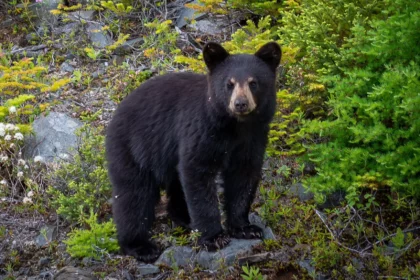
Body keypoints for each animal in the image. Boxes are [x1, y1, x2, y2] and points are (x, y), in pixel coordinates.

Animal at [106, 41, 282, 262]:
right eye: (229, 83)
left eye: (253, 83)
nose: (240, 104)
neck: (234, 126)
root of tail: (116, 113)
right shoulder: (201, 131)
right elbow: (197, 173)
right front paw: (213, 237)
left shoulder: (253, 138)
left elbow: (243, 177)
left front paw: (245, 227)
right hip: (133, 149)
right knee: (134, 195)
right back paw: (140, 246)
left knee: (175, 185)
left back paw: (184, 218)